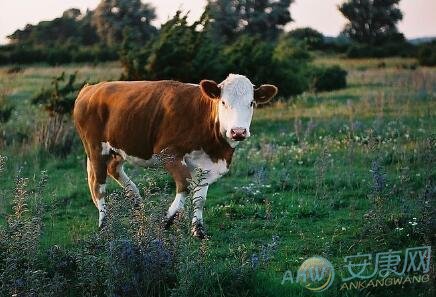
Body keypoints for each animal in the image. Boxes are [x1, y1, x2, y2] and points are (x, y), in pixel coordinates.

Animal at [71, 74, 276, 238]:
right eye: (223, 102)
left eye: (251, 103)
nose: (238, 131)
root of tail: (91, 88)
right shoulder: (168, 153)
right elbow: (184, 184)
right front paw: (167, 220)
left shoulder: (207, 165)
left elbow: (200, 198)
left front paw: (198, 230)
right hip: (95, 148)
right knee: (99, 185)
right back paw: (104, 224)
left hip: (119, 148)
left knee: (114, 169)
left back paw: (138, 205)